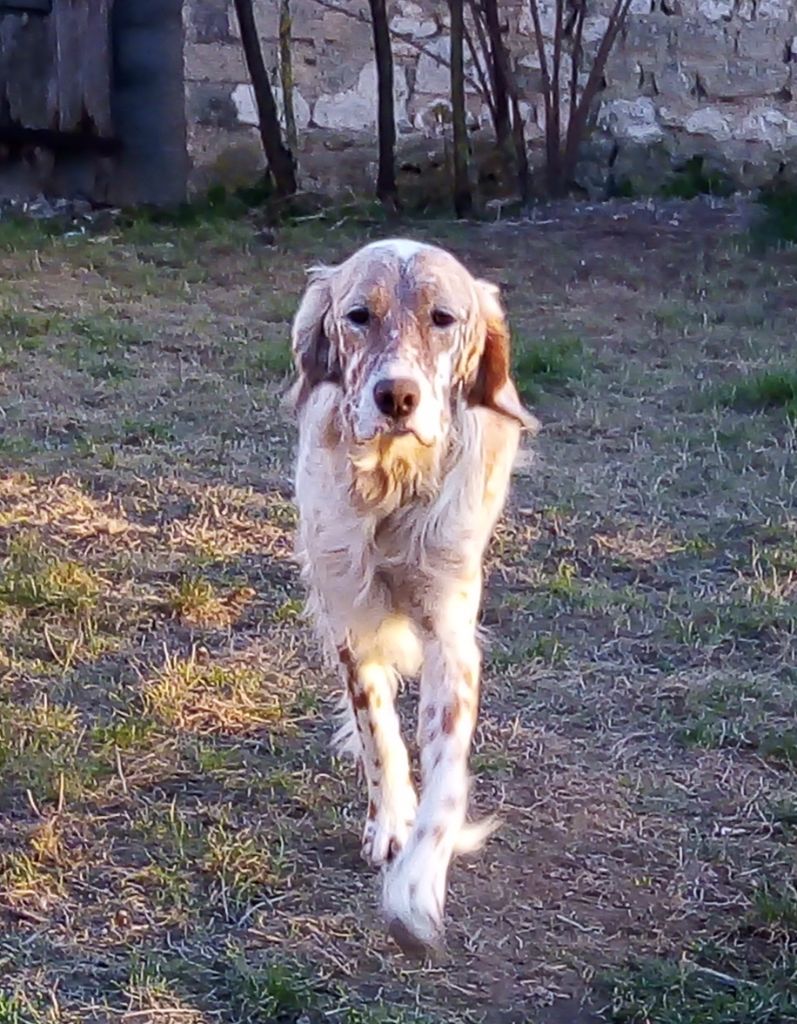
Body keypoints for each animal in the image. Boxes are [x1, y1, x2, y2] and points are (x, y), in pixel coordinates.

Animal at [288, 235, 536, 954]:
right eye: (358, 316)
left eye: (442, 318)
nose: (395, 396)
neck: (392, 488)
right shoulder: (348, 616)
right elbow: (379, 733)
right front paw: (389, 820)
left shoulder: (450, 636)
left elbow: (445, 779)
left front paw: (416, 887)